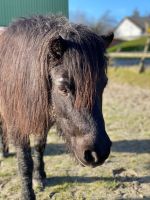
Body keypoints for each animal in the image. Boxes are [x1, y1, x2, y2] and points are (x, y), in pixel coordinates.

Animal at [0, 16, 113, 200]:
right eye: (63, 88)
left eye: (104, 84)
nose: (98, 152)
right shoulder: (18, 125)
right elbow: (24, 162)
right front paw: (27, 194)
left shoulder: (44, 121)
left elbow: (39, 148)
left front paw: (39, 177)